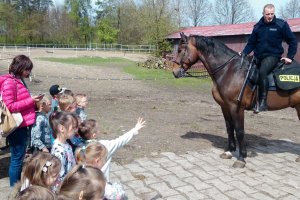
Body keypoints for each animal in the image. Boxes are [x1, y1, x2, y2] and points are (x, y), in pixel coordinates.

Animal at [171, 32, 300, 167]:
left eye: (180, 50)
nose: (174, 71)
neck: (228, 71)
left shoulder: (236, 108)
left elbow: (239, 131)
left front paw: (241, 158)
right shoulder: (225, 106)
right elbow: (229, 128)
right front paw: (229, 151)